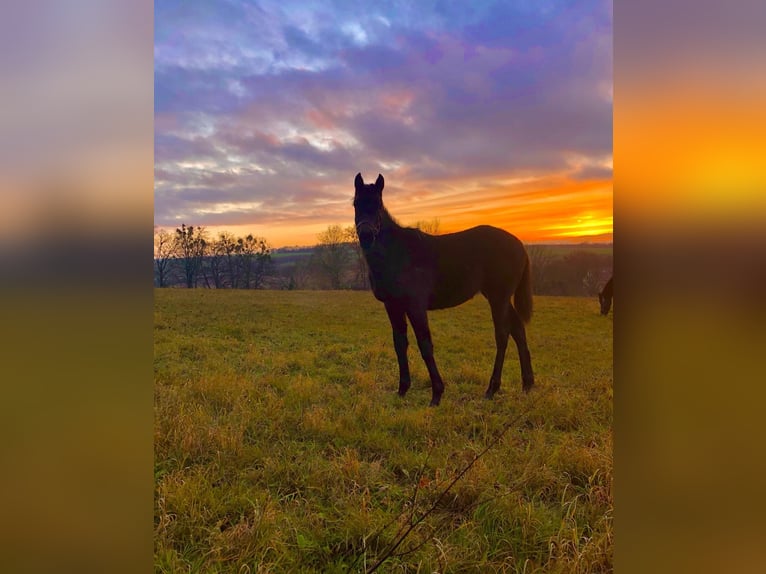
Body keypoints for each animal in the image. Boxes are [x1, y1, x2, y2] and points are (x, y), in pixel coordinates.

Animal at [353, 173, 534, 406]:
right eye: (356, 204)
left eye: (377, 204)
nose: (366, 236)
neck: (398, 253)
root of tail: (520, 245)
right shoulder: (393, 306)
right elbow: (400, 344)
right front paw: (402, 389)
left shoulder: (416, 306)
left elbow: (425, 345)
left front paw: (437, 394)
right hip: (498, 297)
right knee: (518, 331)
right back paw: (527, 384)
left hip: (499, 298)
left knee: (502, 336)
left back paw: (492, 389)